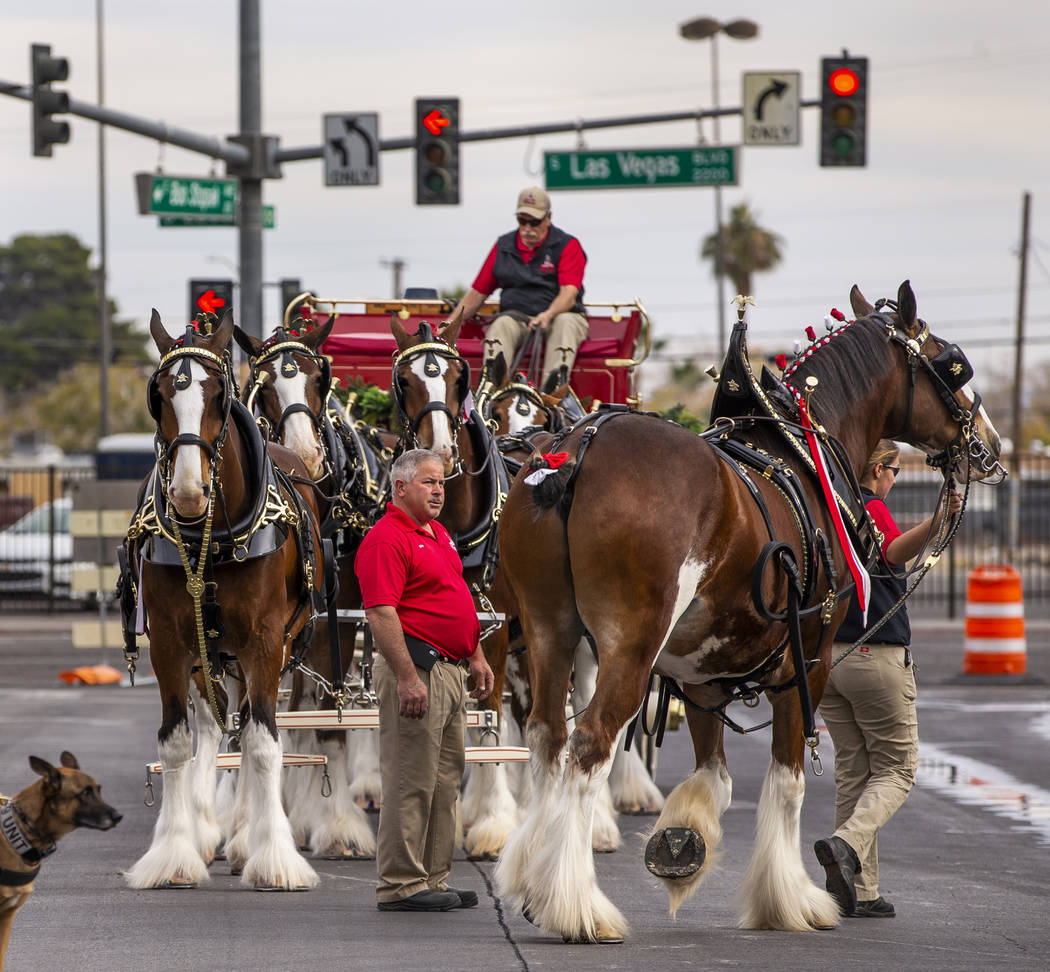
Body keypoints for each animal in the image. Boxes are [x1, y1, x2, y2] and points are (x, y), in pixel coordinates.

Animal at [495, 281, 1003, 944]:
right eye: (953, 362)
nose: (989, 444)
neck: (801, 453)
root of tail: (574, 451)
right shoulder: (808, 659)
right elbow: (787, 778)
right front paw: (788, 899)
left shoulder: (701, 670)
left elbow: (715, 773)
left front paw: (683, 846)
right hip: (628, 645)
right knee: (590, 746)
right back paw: (580, 906)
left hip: (548, 630)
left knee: (547, 739)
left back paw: (539, 879)